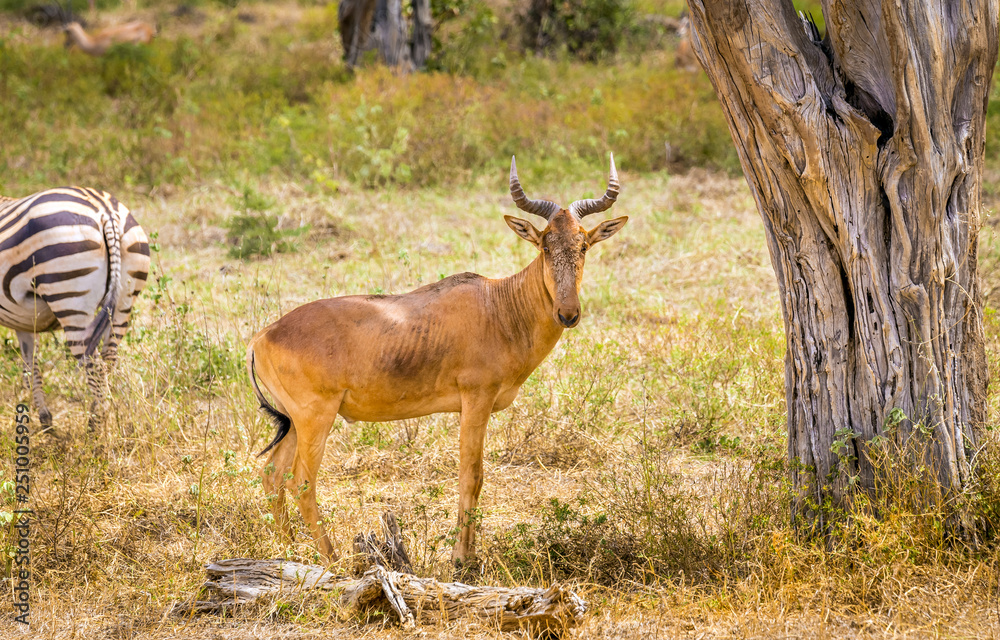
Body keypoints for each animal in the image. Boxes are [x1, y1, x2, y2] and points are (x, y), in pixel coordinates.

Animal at [247, 156, 628, 562]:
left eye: (583, 244)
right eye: (544, 245)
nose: (567, 314)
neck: (498, 305)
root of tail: (262, 337)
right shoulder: (475, 400)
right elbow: (471, 475)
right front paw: (463, 560)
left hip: (294, 420)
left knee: (273, 475)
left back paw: (291, 551)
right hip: (315, 417)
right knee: (302, 481)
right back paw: (333, 559)